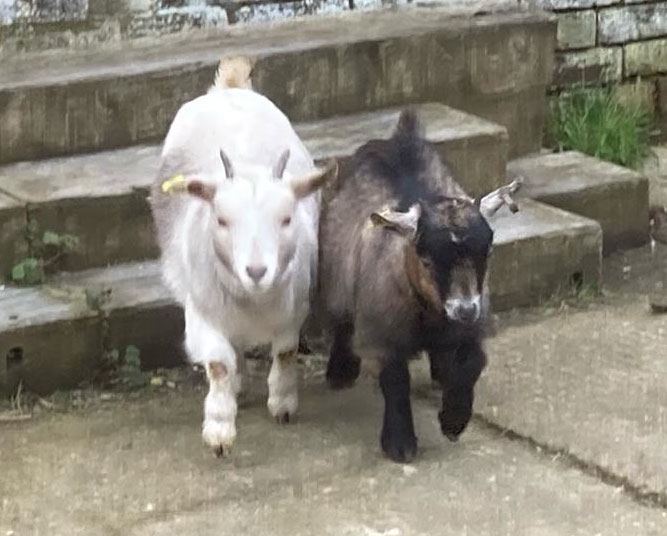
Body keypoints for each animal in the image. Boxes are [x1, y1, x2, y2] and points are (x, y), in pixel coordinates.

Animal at [150, 56, 336, 457]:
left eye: (286, 218)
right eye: (221, 219)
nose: (256, 270)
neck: (254, 303)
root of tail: (230, 88)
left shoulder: (294, 310)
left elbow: (285, 352)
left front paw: (282, 404)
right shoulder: (202, 316)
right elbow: (218, 364)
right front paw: (220, 430)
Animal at [318, 110, 519, 462]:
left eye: (488, 252)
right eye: (425, 259)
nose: (465, 309)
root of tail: (401, 137)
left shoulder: (472, 325)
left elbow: (471, 364)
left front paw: (453, 421)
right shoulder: (384, 331)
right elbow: (396, 381)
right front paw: (400, 444)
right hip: (337, 274)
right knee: (342, 320)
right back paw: (341, 371)